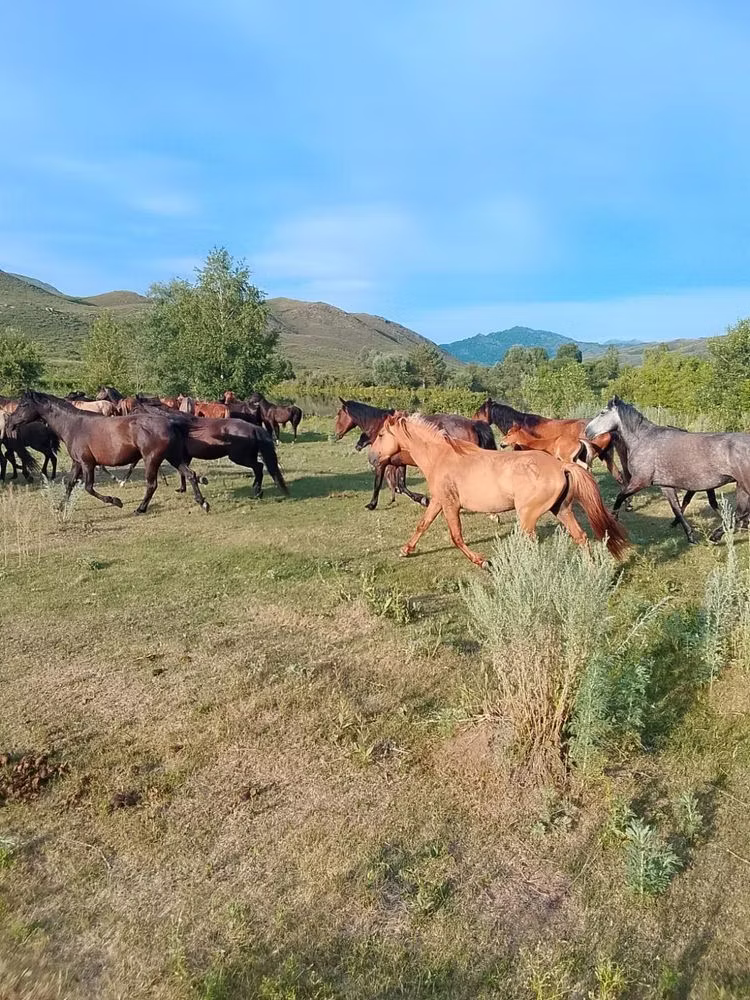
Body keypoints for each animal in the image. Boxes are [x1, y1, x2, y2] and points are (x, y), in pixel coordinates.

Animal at [7, 391, 207, 514]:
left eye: (24, 404)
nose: (9, 423)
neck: (74, 425)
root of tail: (170, 422)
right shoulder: (77, 463)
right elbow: (70, 484)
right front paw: (60, 507)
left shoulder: (87, 463)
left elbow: (88, 487)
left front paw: (116, 501)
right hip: (172, 457)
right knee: (190, 474)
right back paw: (203, 502)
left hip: (152, 459)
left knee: (152, 484)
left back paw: (140, 509)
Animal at [334, 398, 497, 509]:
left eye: (339, 413)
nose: (336, 434)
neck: (381, 427)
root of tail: (473, 424)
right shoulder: (399, 463)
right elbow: (401, 485)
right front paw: (423, 499)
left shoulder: (382, 462)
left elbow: (379, 483)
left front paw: (372, 504)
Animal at [369, 413, 628, 567]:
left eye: (381, 434)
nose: (372, 458)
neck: (441, 456)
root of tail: (561, 465)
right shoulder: (438, 500)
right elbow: (422, 525)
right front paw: (406, 550)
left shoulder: (450, 504)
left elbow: (456, 536)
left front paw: (482, 561)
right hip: (561, 509)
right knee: (581, 537)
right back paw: (590, 567)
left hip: (528, 515)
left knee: (532, 541)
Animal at [585, 396, 750, 543]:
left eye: (602, 412)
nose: (587, 431)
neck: (643, 440)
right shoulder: (666, 486)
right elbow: (676, 508)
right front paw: (690, 536)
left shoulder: (640, 481)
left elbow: (620, 496)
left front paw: (613, 519)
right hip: (741, 486)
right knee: (741, 513)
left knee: (741, 513)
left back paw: (716, 535)